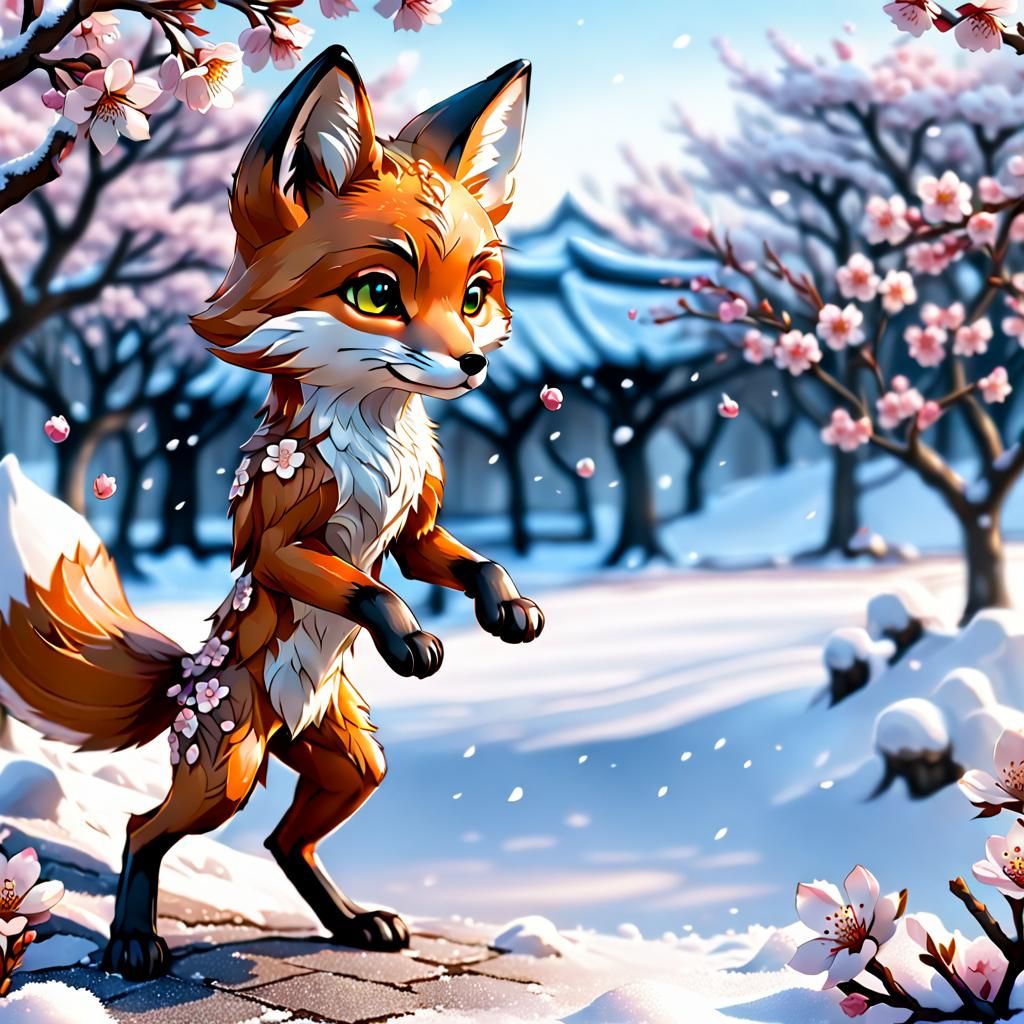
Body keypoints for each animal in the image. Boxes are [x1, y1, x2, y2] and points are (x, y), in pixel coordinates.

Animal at [0, 45, 543, 980]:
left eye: (474, 296)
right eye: (376, 294)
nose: (471, 365)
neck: (374, 439)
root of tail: (189, 674)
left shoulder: (415, 528)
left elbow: (468, 560)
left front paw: (508, 609)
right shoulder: (281, 537)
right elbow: (361, 585)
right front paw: (409, 638)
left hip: (350, 761)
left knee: (287, 844)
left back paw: (354, 923)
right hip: (229, 763)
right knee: (145, 830)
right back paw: (134, 942)